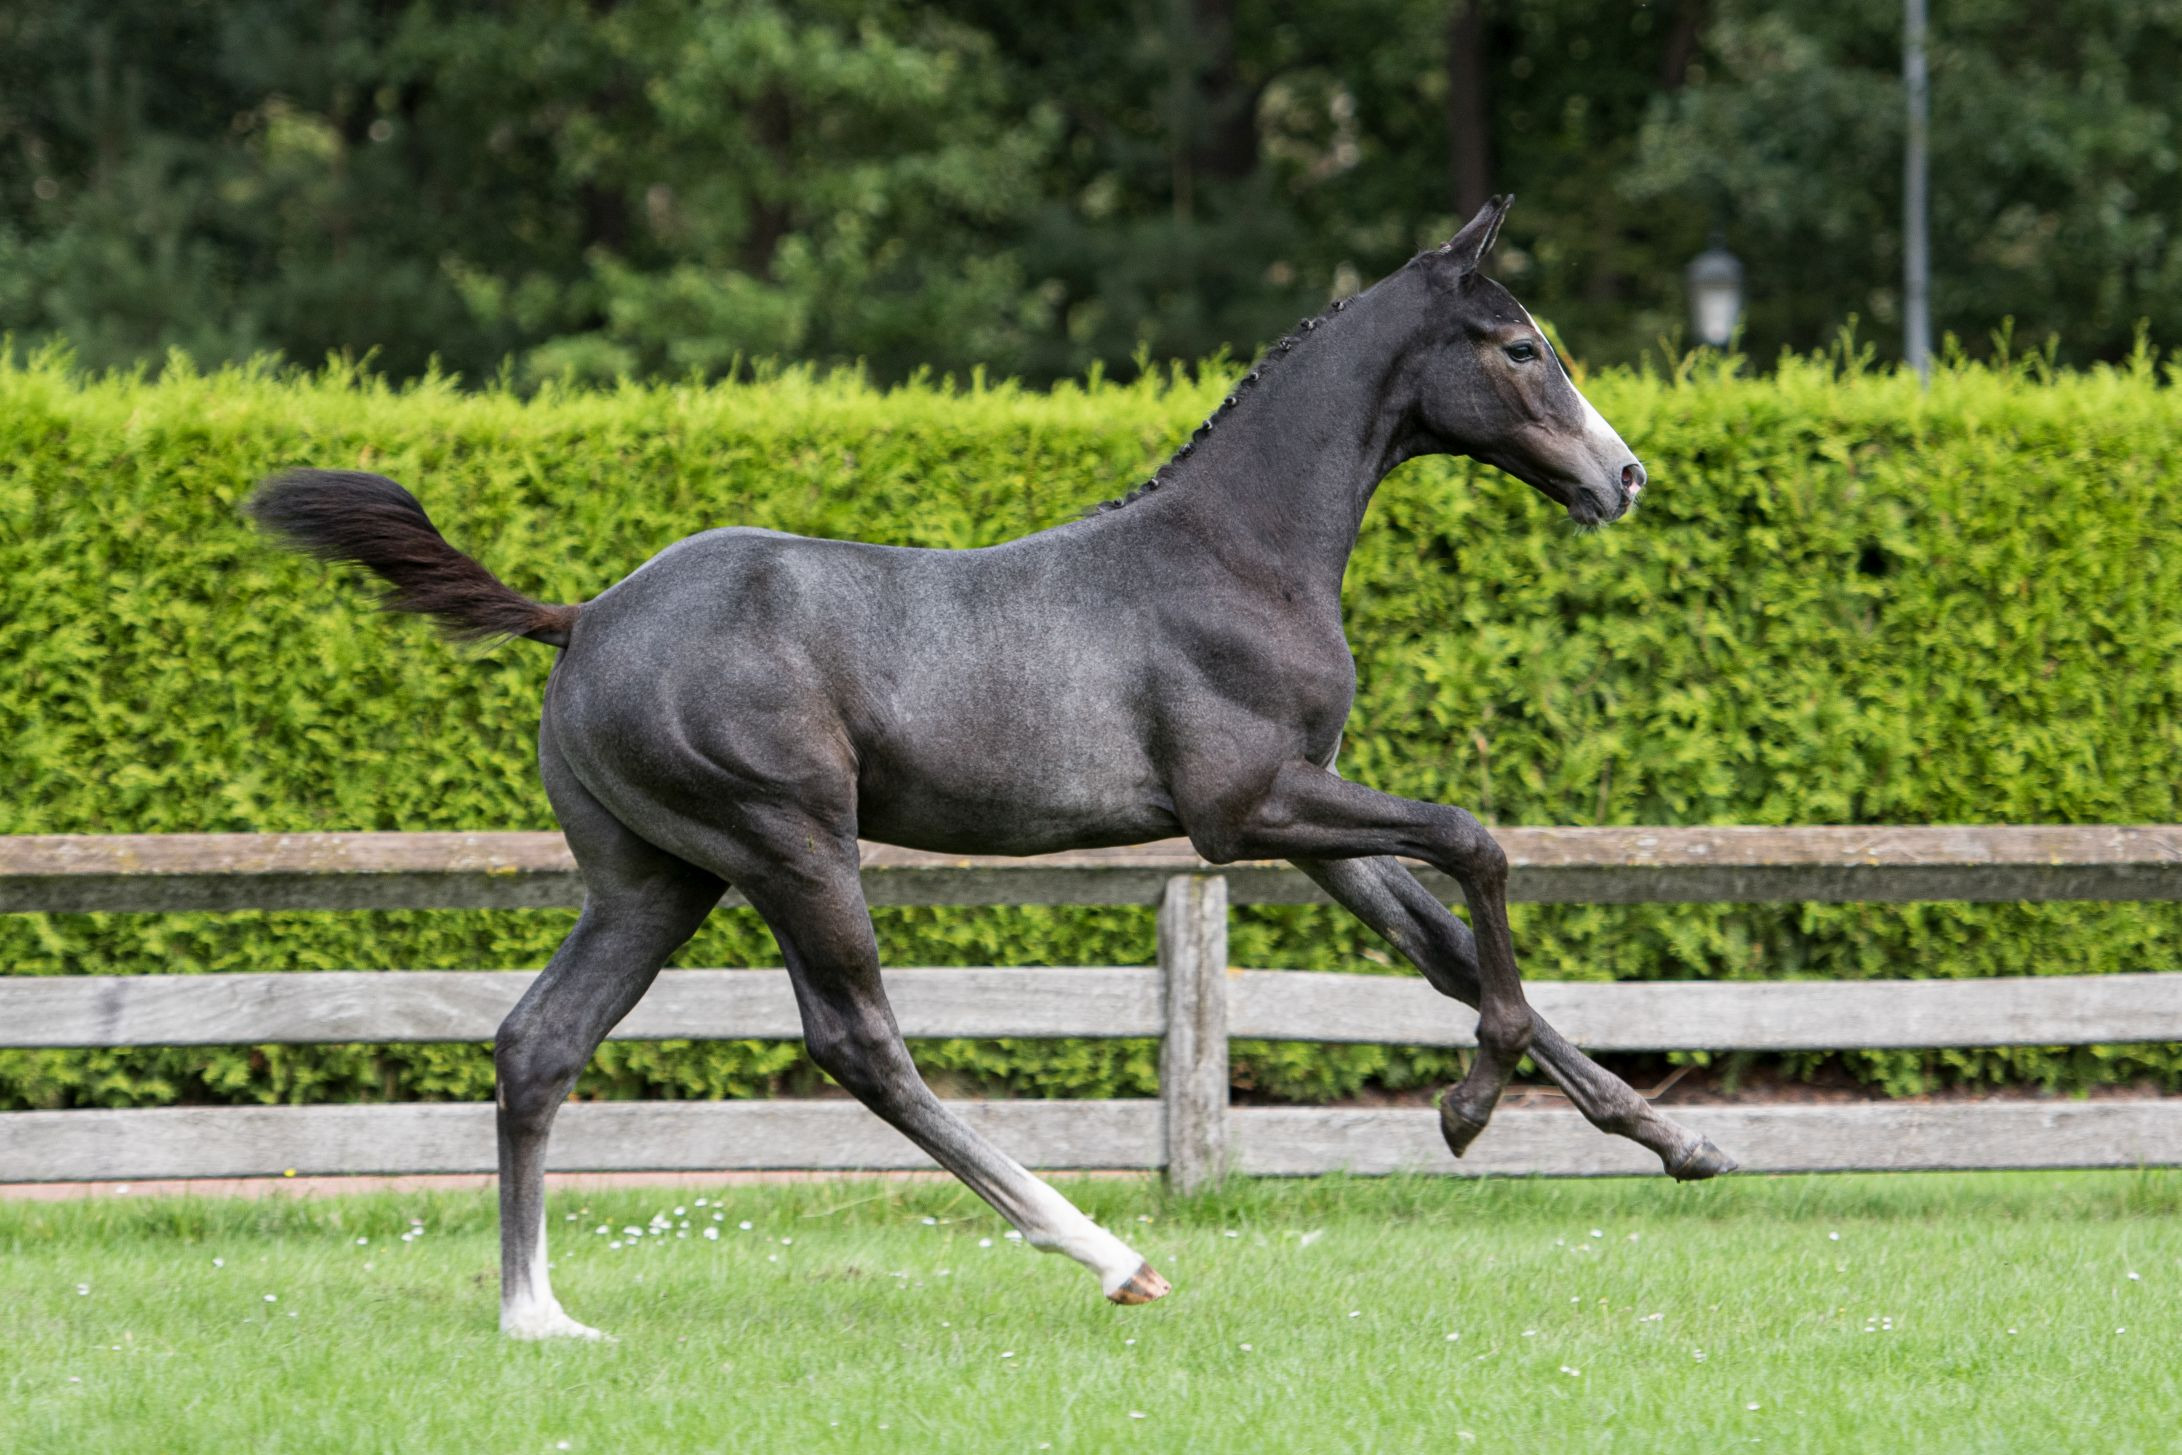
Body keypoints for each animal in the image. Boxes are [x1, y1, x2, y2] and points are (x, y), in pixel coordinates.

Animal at [250, 196, 1733, 1341]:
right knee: (858, 1042)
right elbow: (1475, 840)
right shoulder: (1243, 808)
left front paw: (1679, 1141)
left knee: (537, 1043)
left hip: (656, 877)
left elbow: (1443, 940)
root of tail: (584, 618)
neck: (1238, 553)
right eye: (1521, 344)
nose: (1624, 476)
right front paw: (1468, 1108)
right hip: (790, 846)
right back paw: (1110, 1255)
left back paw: (537, 1314)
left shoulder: (1304, 820)